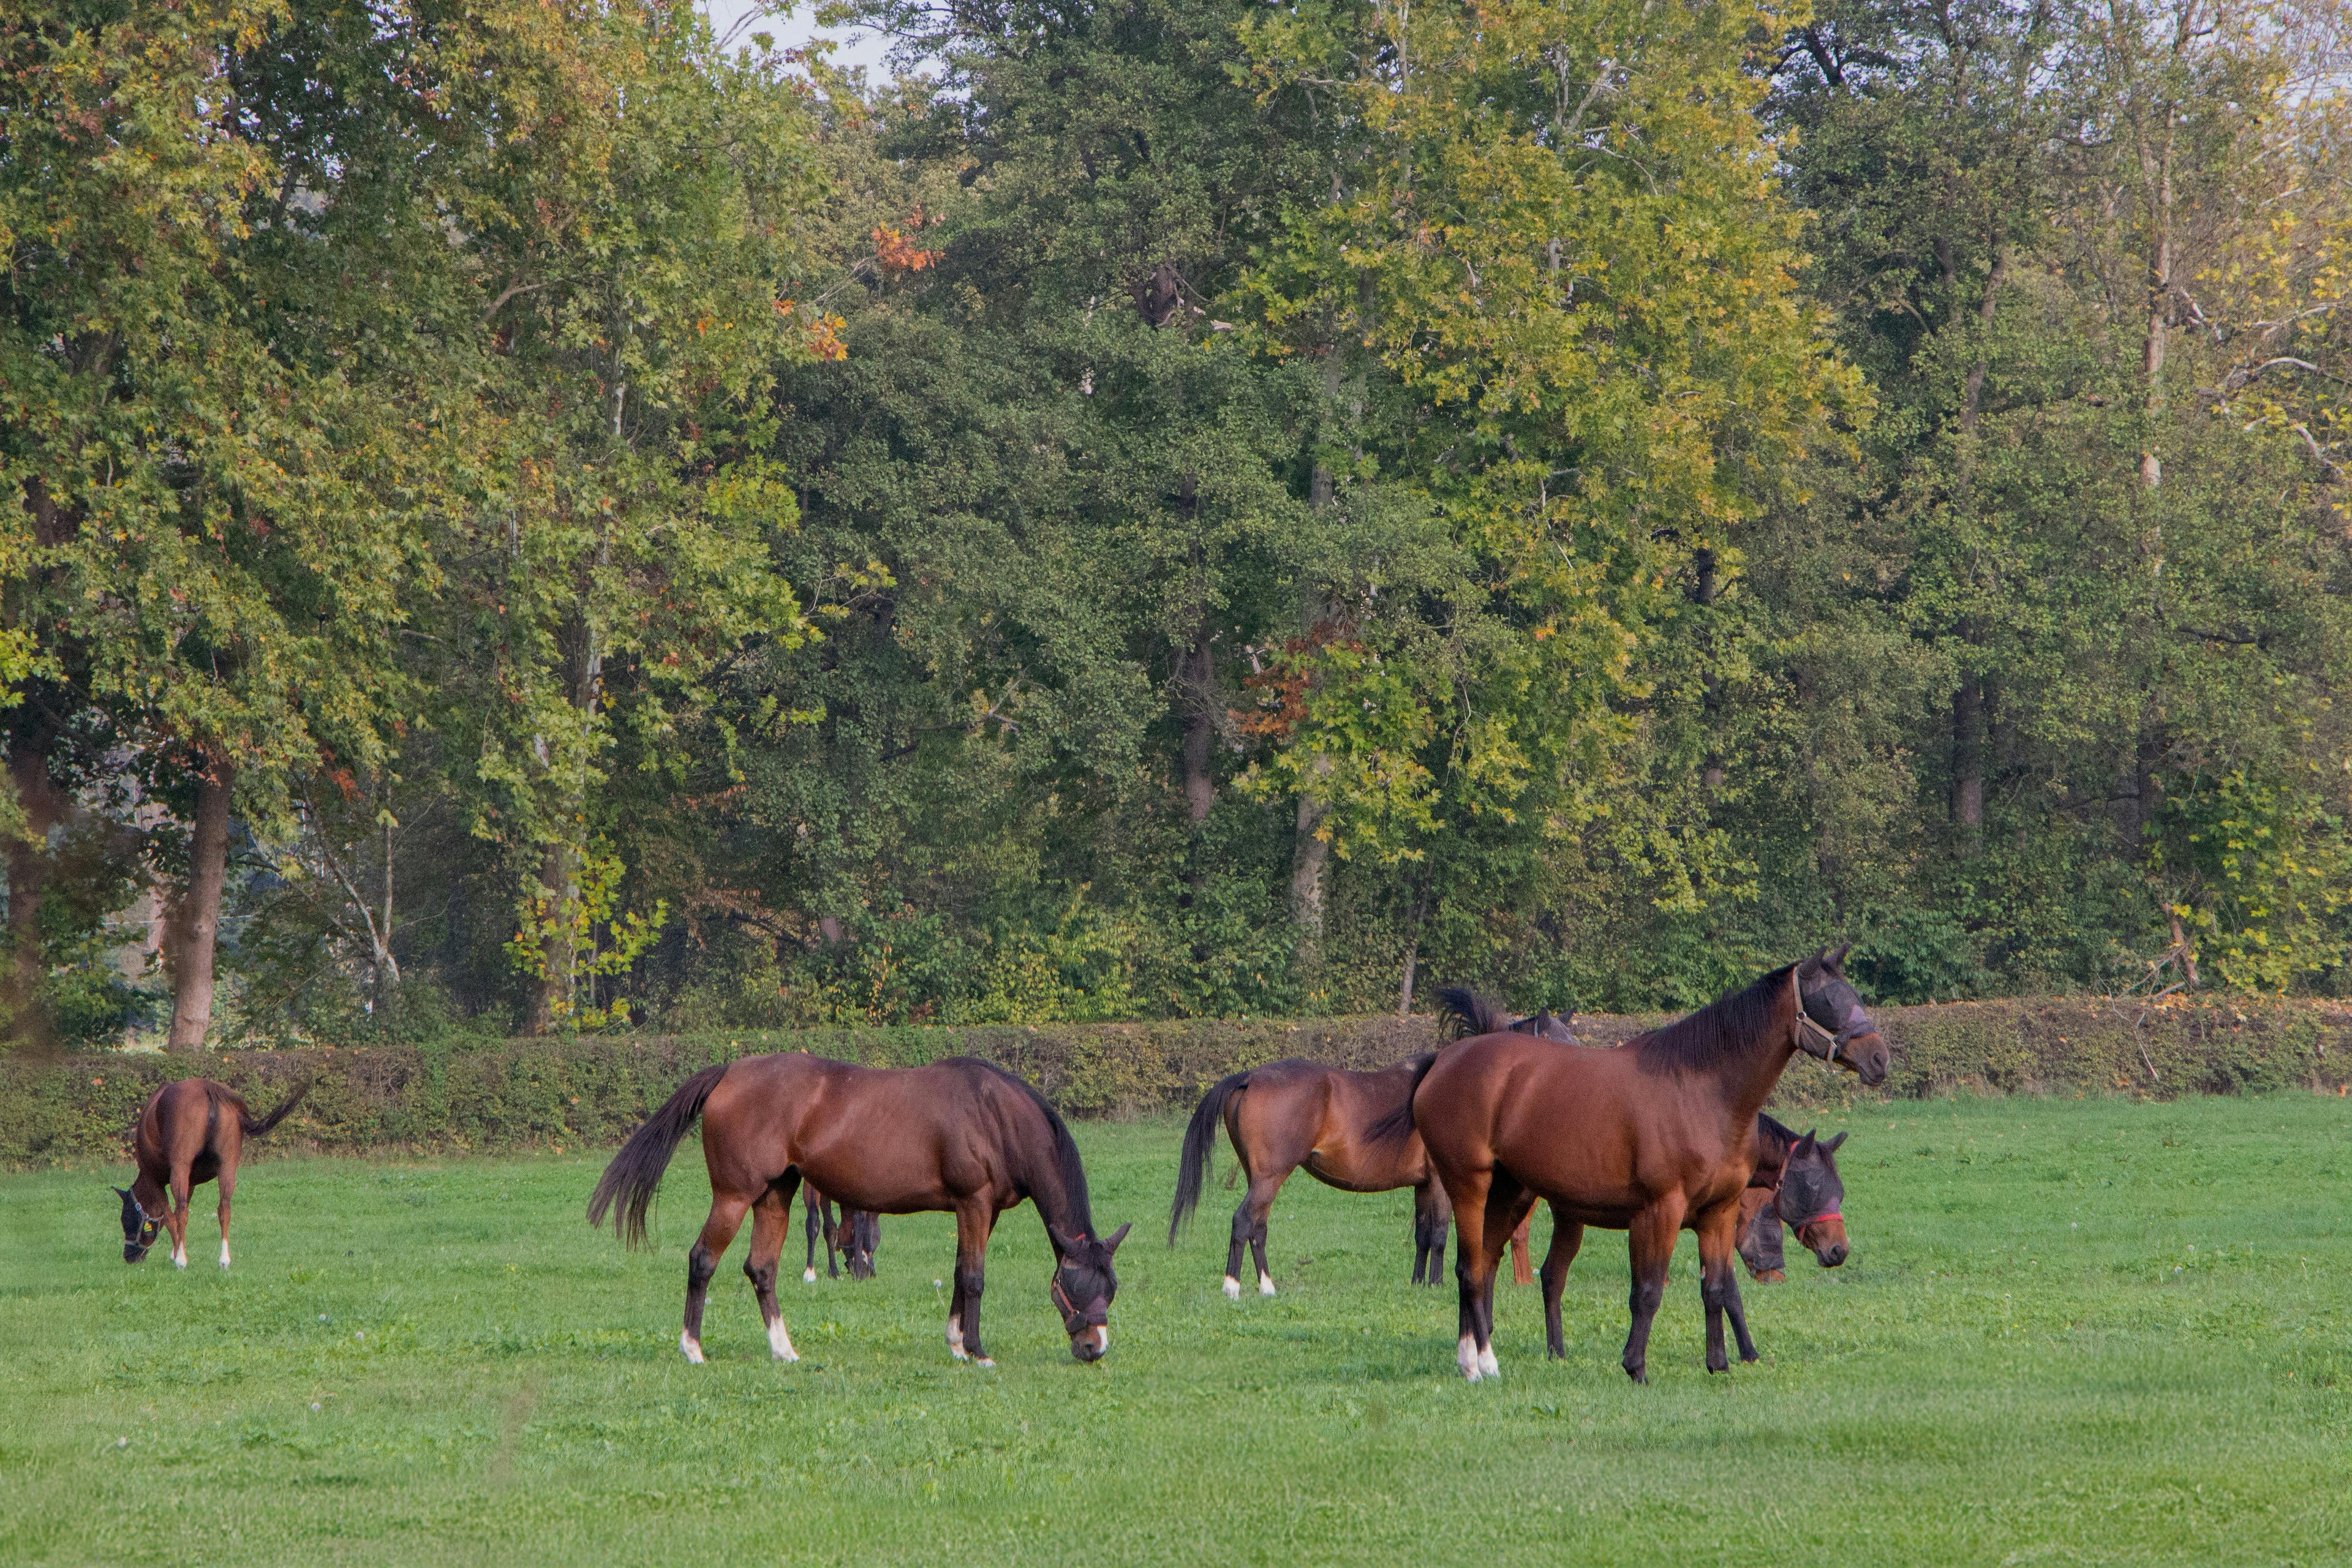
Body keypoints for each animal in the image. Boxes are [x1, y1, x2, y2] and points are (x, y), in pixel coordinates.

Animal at [113, 1078, 310, 1269]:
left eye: (126, 1220)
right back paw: (224, 1260)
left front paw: (176, 1254)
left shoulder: (154, 1179)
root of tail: (208, 1088)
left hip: (181, 1166)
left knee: (182, 1210)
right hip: (227, 1167)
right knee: (224, 1208)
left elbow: (170, 1217)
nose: (128, 1256)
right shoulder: (191, 1182)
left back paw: (181, 1261)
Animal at [1165, 989, 1574, 1301]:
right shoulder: (1443, 1183)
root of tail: (1250, 1076)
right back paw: (1232, 1288)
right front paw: (1438, 1285)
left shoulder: (1423, 1185)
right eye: (1554, 1042)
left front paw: (1418, 1283)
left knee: (1258, 1227)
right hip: (1269, 1177)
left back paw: (1267, 1287)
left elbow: (1423, 1235)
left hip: (1260, 1178)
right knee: (1243, 1222)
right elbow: (1441, 1234)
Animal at [1383, 945, 1885, 1382]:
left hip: (1511, 1193)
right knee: (1469, 1269)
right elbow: (1647, 1292)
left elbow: (1716, 1289)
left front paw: (1719, 1364)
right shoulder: (1659, 1212)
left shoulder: (1718, 1214)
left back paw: (1478, 1355)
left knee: (1486, 1265)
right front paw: (1635, 1367)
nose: (1880, 1058)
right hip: (1469, 1186)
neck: (1701, 1092)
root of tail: (1442, 1061)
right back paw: (1480, 1365)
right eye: (1828, 999)